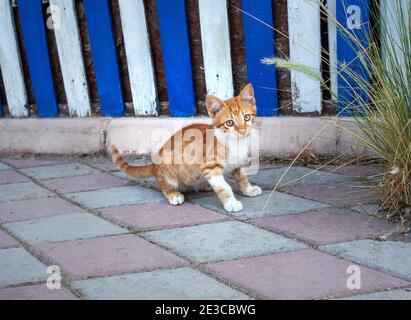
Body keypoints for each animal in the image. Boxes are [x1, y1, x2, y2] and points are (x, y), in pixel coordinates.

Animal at [111, 84, 262, 211]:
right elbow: (223, 186)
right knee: (163, 186)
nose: (243, 130)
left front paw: (248, 189)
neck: (236, 142)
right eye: (229, 123)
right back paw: (173, 194)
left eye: (247, 117)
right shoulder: (209, 166)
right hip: (169, 167)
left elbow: (242, 176)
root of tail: (155, 165)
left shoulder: (238, 162)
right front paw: (231, 203)